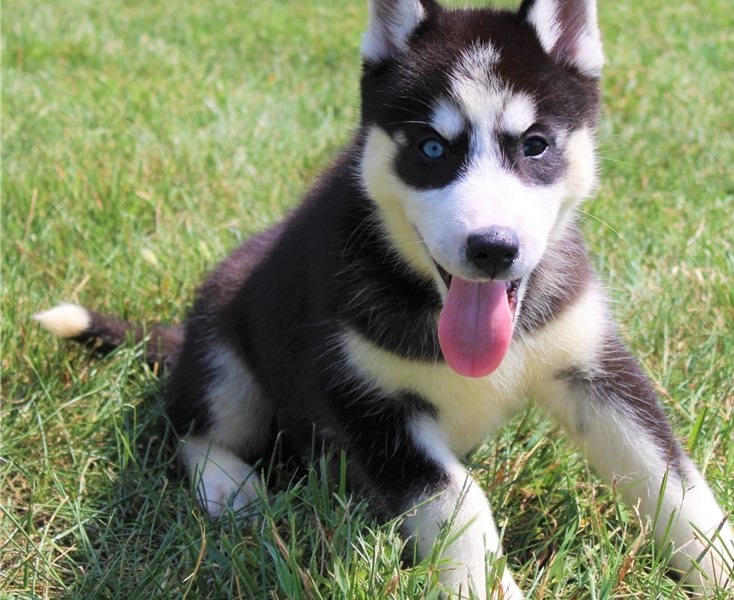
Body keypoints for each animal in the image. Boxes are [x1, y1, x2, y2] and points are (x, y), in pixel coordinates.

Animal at [36, 0, 734, 596]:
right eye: (431, 148)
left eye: (535, 145)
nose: (492, 249)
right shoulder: (365, 401)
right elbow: (460, 499)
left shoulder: (592, 368)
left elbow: (673, 480)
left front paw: (718, 567)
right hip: (224, 350)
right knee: (187, 430)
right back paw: (232, 489)